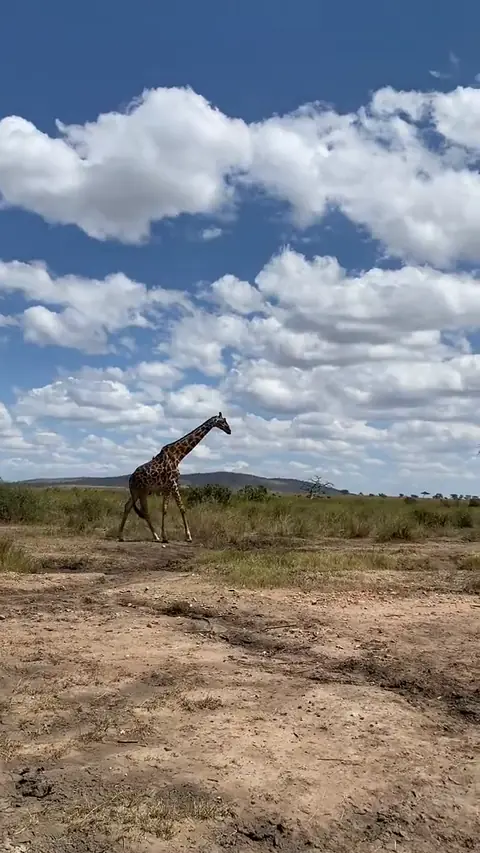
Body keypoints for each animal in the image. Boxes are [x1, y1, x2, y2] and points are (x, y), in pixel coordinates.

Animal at [117, 412, 232, 543]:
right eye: (223, 421)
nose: (229, 430)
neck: (178, 456)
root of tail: (130, 478)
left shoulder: (168, 487)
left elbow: (167, 509)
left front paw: (166, 536)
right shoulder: (173, 483)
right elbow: (179, 508)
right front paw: (185, 536)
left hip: (139, 492)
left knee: (129, 507)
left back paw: (126, 536)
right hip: (140, 491)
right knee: (142, 510)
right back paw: (150, 536)